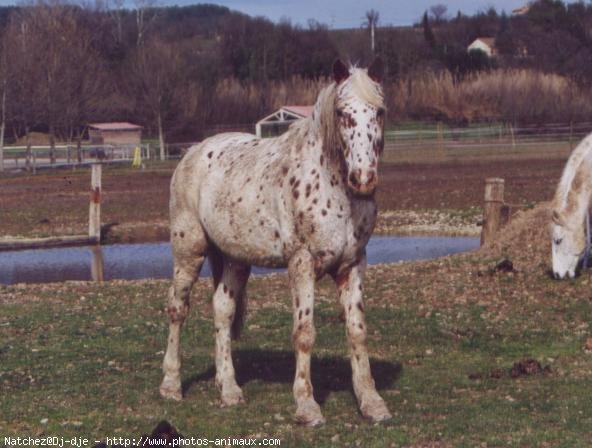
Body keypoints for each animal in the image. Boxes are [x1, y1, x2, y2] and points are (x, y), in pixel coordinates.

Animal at [161, 59, 394, 428]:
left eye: (380, 111)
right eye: (342, 113)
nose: (363, 179)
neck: (331, 185)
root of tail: (192, 153)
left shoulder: (353, 264)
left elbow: (357, 331)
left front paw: (372, 403)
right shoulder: (302, 264)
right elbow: (304, 332)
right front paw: (307, 406)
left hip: (235, 260)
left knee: (222, 311)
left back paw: (229, 389)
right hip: (189, 253)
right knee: (177, 309)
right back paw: (171, 385)